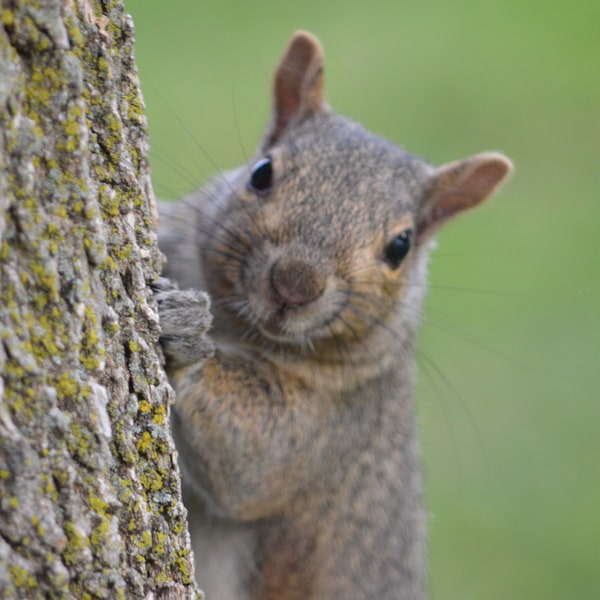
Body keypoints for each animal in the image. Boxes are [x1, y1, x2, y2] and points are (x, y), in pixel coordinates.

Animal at [154, 31, 510, 600]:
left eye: (401, 246)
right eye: (261, 174)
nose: (295, 285)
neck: (237, 325)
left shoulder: (338, 422)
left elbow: (257, 458)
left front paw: (186, 338)